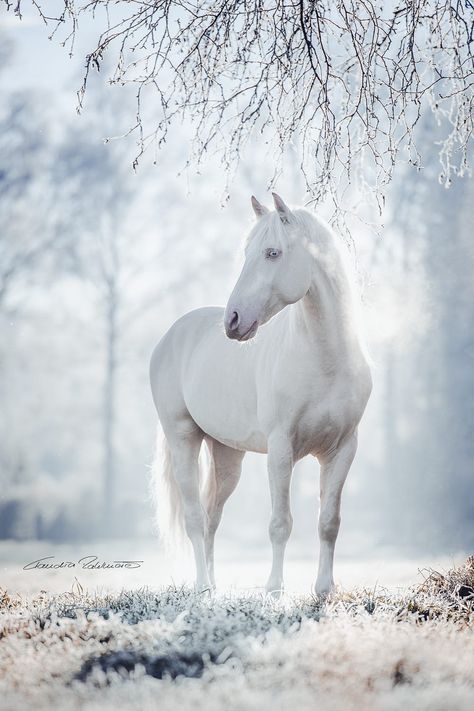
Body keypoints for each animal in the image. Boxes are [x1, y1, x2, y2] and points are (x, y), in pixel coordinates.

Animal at [150, 193, 372, 596]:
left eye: (272, 253)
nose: (233, 320)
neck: (326, 361)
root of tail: (172, 335)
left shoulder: (343, 449)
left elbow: (329, 521)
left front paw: (324, 589)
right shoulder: (281, 449)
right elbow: (280, 523)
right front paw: (274, 589)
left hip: (227, 456)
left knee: (212, 516)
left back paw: (214, 586)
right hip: (183, 438)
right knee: (194, 517)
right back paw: (202, 586)